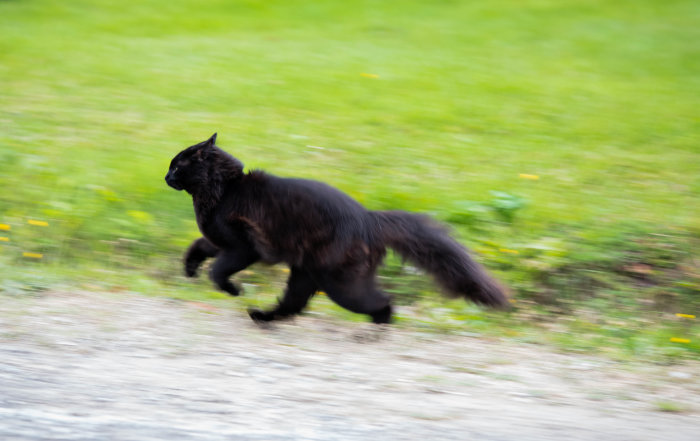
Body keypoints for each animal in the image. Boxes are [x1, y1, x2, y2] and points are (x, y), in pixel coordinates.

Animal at [168, 134, 508, 324]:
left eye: (177, 165)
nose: (165, 176)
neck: (224, 190)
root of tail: (370, 218)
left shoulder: (243, 247)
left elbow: (218, 271)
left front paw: (232, 290)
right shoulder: (218, 240)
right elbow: (197, 247)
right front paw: (189, 270)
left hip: (338, 283)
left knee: (382, 302)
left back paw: (376, 329)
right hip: (307, 274)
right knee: (292, 306)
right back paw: (261, 317)